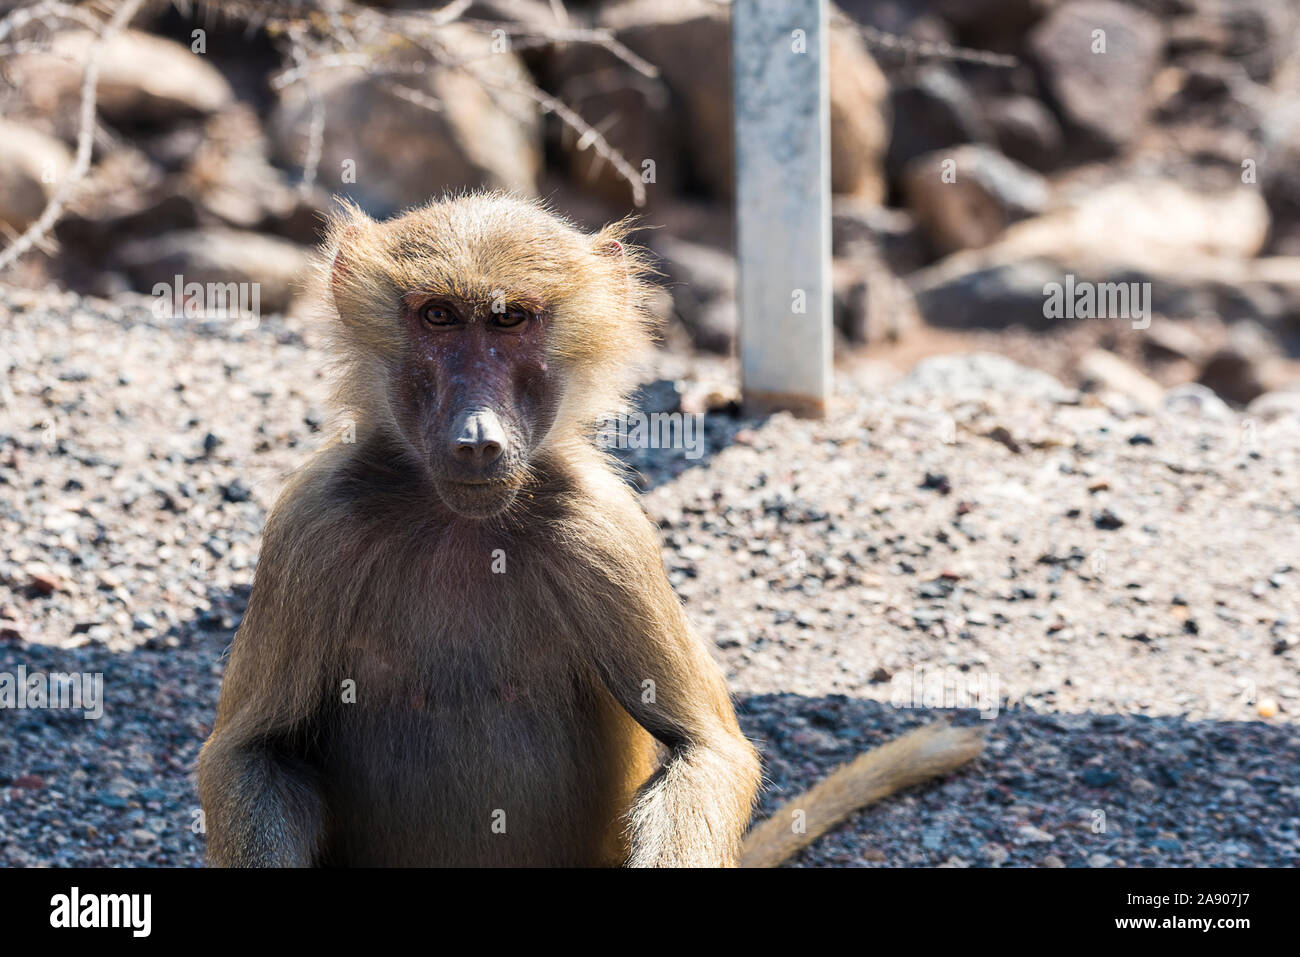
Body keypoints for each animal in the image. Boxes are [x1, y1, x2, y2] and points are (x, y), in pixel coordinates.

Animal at [196, 192, 984, 867]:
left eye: (511, 321)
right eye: (439, 316)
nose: (475, 440)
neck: (457, 522)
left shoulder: (606, 532)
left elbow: (704, 748)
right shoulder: (313, 524)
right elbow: (251, 751)